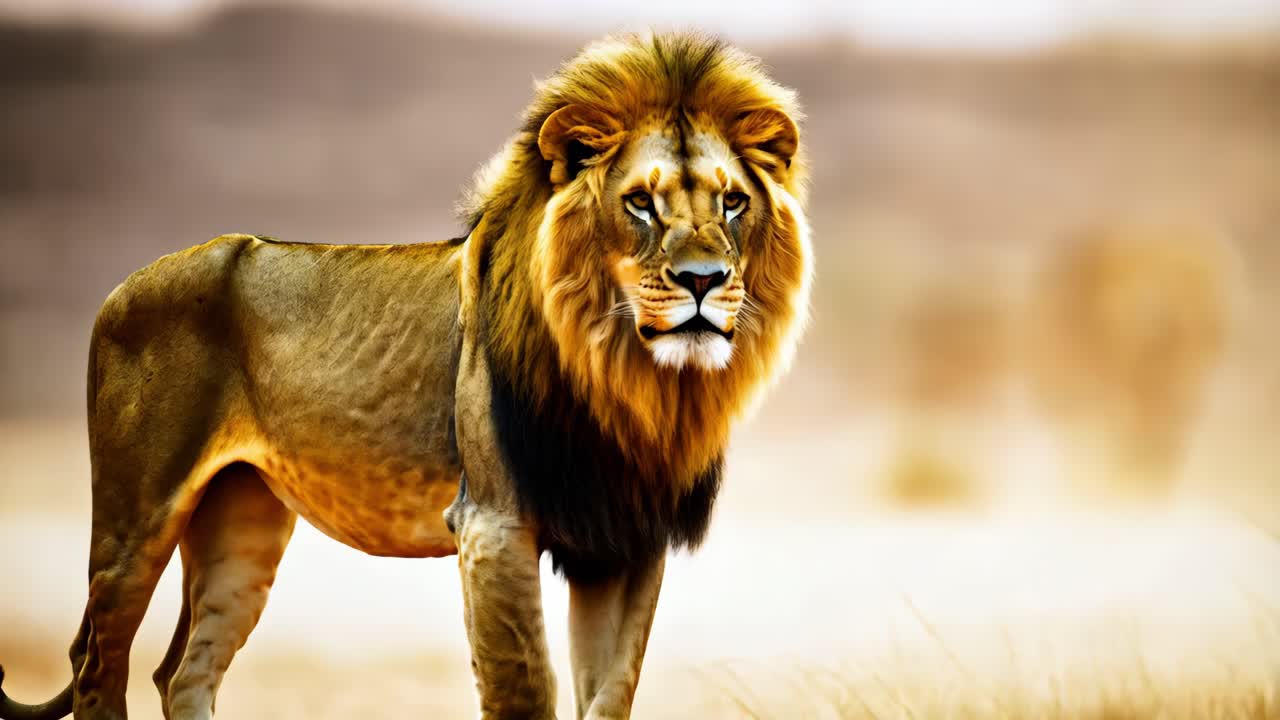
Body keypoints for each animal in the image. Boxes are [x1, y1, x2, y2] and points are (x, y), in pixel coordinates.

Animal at [0, 32, 811, 720]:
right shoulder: (493, 525)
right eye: (640, 202)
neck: (632, 380)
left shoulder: (624, 542)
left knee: (183, 671)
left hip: (242, 522)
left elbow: (610, 697)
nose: (704, 280)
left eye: (733, 203)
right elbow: (526, 691)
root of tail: (123, 285)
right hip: (137, 517)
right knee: (99, 665)